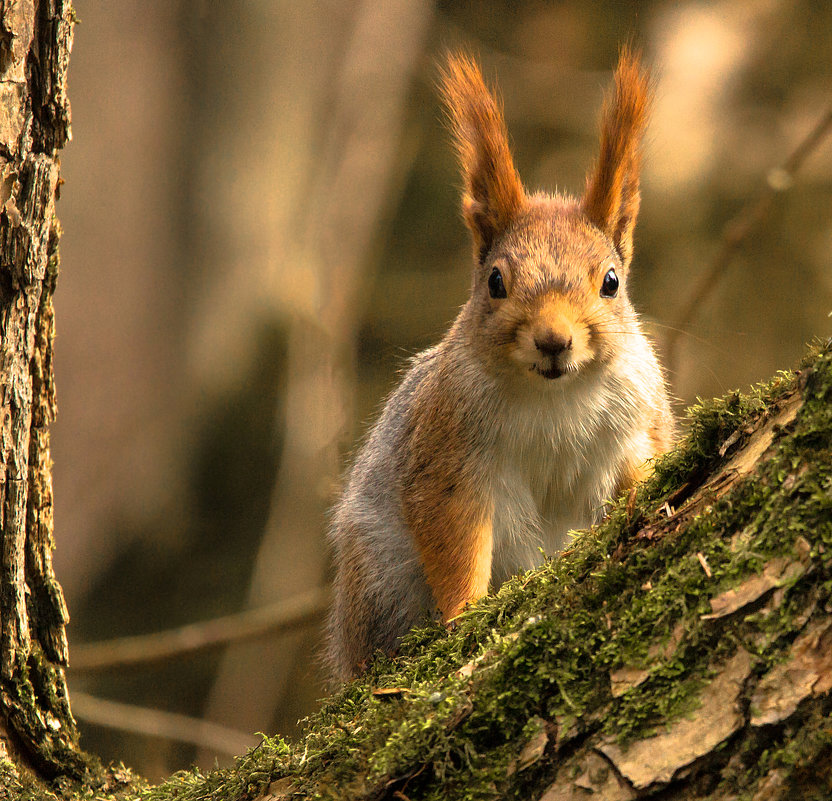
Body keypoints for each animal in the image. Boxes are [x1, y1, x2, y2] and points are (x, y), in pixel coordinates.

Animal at [324, 48, 676, 680]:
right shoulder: (448, 454)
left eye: (612, 281)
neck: (556, 398)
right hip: (381, 583)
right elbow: (455, 543)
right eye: (495, 282)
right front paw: (464, 618)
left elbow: (644, 474)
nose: (554, 341)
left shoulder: (639, 427)